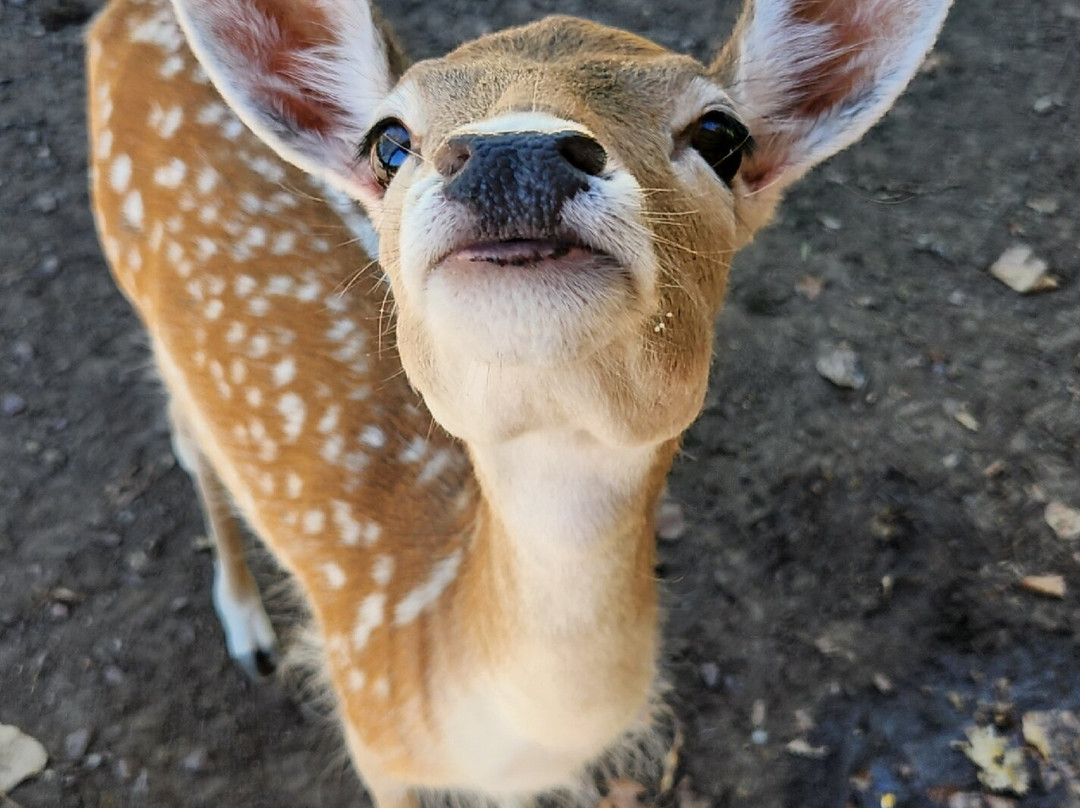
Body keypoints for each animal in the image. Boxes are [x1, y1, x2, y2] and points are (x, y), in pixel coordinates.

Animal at [87, 0, 951, 804]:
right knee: (185, 431)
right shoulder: (370, 733)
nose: (515, 154)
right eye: (388, 139)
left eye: (722, 135)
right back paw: (248, 629)